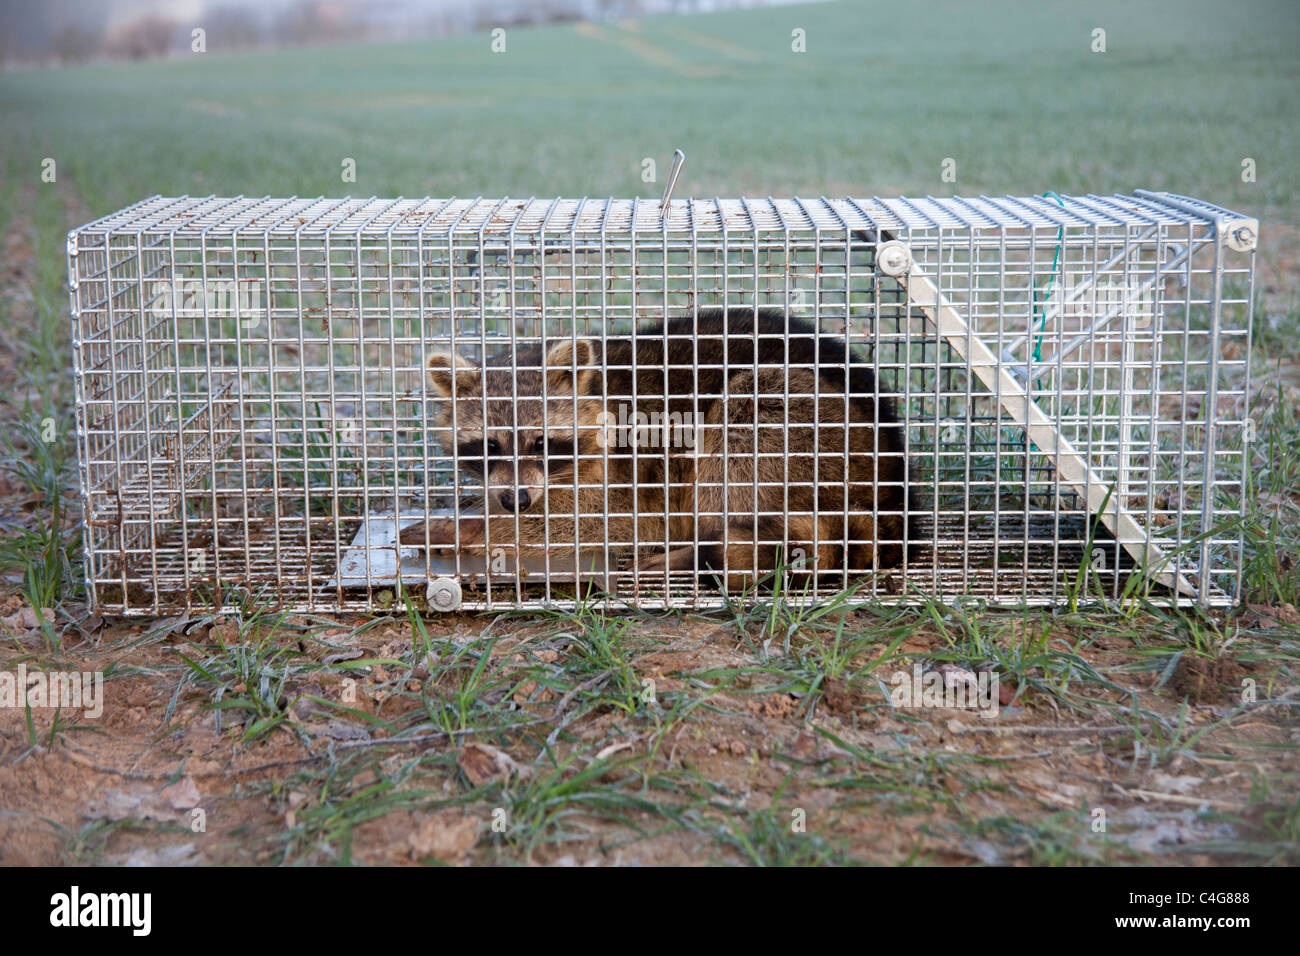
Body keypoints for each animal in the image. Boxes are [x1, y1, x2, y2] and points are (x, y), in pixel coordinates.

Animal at [400, 306, 910, 589]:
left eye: (541, 443)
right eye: (488, 445)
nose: (515, 500)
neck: (595, 390)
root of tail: (896, 483)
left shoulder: (628, 467)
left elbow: (599, 521)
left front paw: (475, 528)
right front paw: (482, 510)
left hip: (813, 427)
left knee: (743, 418)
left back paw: (694, 551)